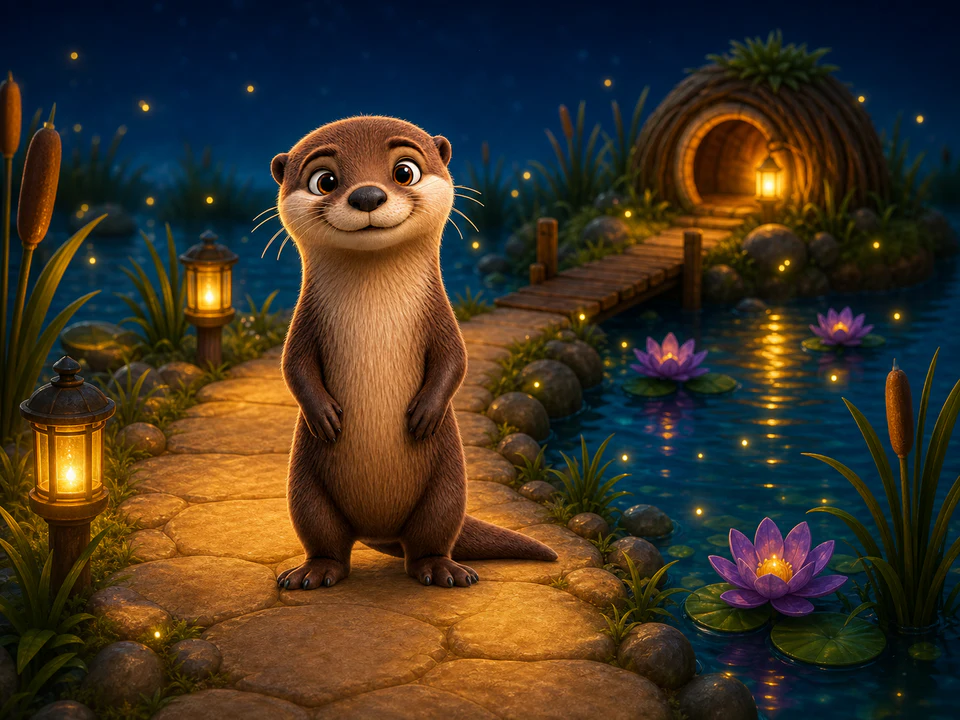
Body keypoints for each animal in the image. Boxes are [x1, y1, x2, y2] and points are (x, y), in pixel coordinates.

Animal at [271, 116, 557, 590]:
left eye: (404, 171)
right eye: (324, 180)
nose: (367, 195)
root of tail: (378, 530)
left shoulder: (441, 318)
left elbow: (455, 359)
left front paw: (424, 412)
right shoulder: (304, 324)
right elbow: (293, 366)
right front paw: (324, 414)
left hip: (447, 482)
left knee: (430, 536)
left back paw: (444, 570)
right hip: (304, 484)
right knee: (324, 536)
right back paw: (313, 573)